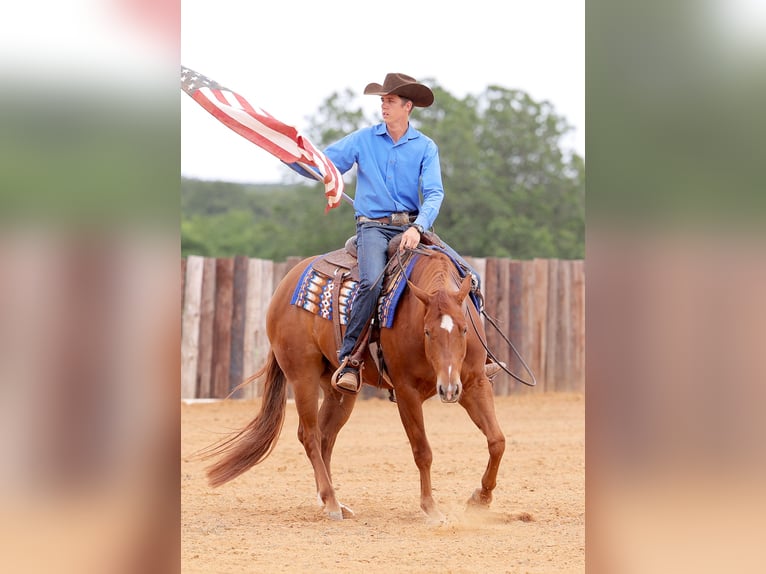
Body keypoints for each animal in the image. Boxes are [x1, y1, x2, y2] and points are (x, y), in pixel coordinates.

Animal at [201, 248, 508, 528]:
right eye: (427, 332)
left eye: (464, 329)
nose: (448, 389)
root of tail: (285, 285)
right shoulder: (407, 392)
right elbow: (422, 451)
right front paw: (431, 509)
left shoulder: (474, 383)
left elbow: (497, 441)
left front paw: (480, 499)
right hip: (302, 376)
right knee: (310, 435)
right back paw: (331, 502)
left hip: (338, 389)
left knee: (325, 436)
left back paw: (331, 501)